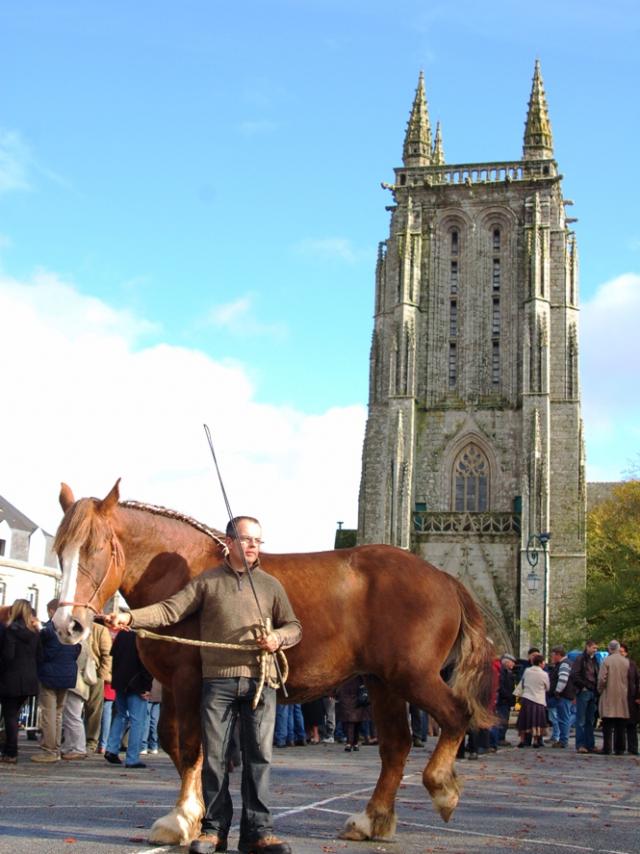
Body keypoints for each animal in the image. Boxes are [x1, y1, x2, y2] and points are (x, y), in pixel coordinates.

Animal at [51, 479, 494, 846]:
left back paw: (441, 788)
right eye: (60, 551)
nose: (66, 625)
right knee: (396, 745)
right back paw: (372, 820)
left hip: (411, 677)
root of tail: (444, 578)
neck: (179, 568)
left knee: (455, 715)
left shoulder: (190, 680)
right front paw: (195, 816)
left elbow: (192, 745)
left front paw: (182, 819)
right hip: (383, 683)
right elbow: (175, 742)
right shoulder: (172, 686)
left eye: (96, 548)